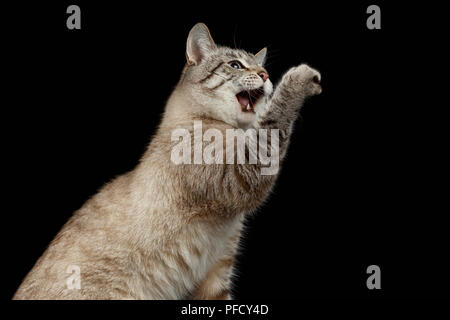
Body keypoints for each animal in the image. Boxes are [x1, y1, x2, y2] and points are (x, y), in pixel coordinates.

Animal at [14, 23, 322, 300]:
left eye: (259, 66)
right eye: (235, 65)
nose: (265, 74)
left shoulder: (217, 272)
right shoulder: (241, 175)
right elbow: (274, 122)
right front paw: (301, 77)